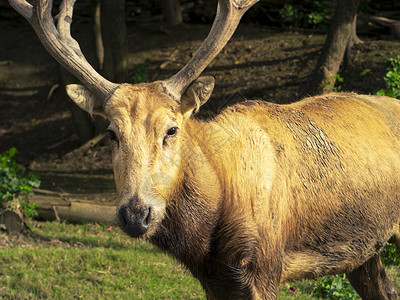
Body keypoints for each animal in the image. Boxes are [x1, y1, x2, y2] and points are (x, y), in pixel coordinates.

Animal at [8, 0, 400, 298]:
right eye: (111, 133)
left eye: (171, 129)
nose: (136, 214)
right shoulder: (215, 279)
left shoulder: (265, 267)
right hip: (364, 252)